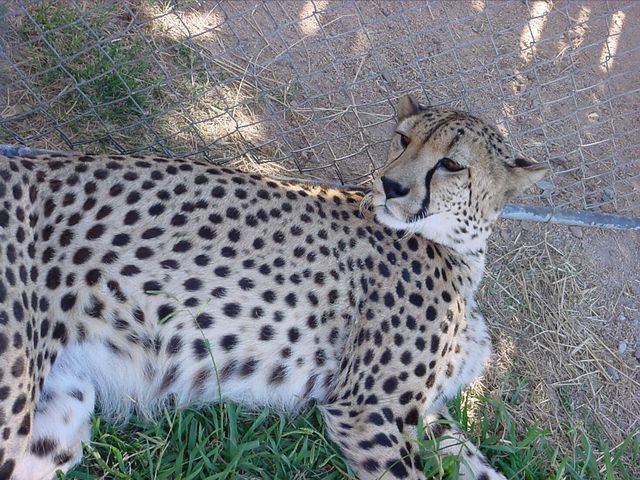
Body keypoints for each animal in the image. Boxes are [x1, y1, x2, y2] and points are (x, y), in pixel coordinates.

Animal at [0, 95, 546, 480]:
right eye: (402, 139)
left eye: (452, 164)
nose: (390, 186)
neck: (458, 249)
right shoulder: (366, 410)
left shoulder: (425, 414)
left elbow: (484, 468)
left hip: (61, 412)